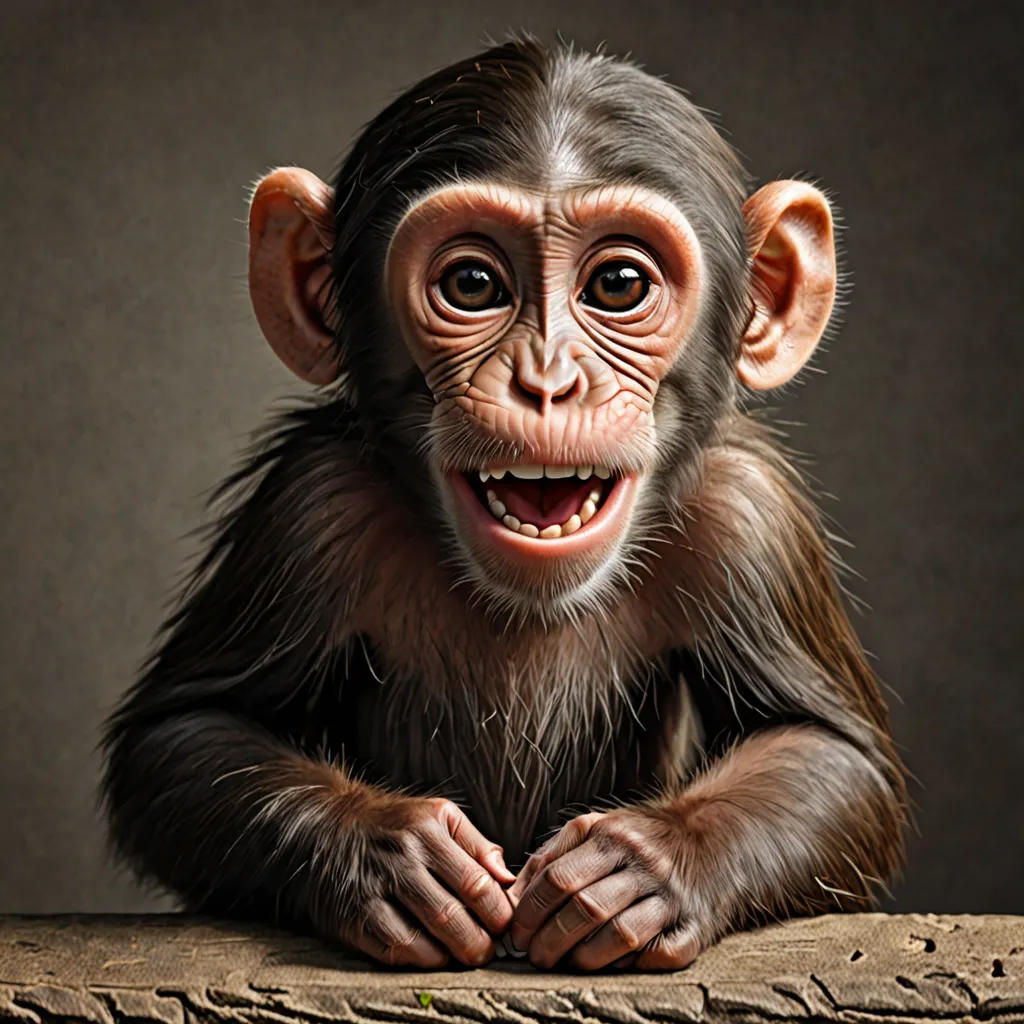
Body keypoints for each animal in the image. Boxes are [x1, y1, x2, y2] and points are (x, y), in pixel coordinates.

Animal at [101, 37, 907, 972]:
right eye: (473, 284)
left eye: (619, 283)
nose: (547, 380)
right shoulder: (310, 510)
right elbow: (186, 733)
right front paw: (391, 853)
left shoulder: (753, 521)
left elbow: (833, 752)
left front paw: (643, 867)